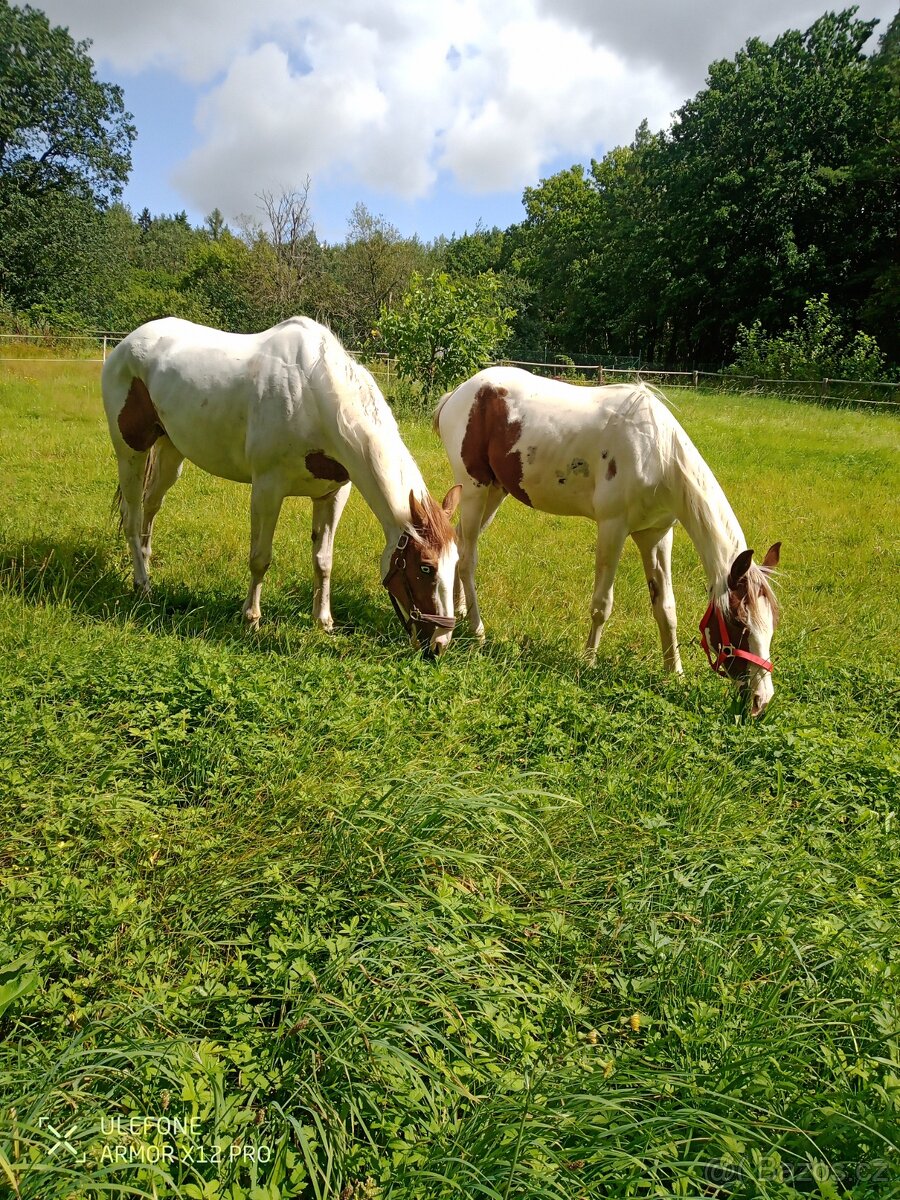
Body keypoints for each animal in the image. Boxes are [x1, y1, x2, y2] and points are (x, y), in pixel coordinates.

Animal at [102, 314, 460, 652]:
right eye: (425, 568)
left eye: (455, 562)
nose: (439, 644)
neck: (314, 396)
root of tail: (126, 345)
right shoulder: (267, 489)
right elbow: (260, 558)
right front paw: (251, 619)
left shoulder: (333, 495)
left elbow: (323, 561)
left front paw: (323, 621)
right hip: (130, 451)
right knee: (132, 516)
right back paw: (142, 585)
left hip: (170, 451)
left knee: (151, 506)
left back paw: (146, 569)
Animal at [436, 367, 782, 710]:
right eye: (740, 623)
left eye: (772, 624)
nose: (761, 700)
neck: (657, 454)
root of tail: (459, 393)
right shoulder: (612, 528)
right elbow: (602, 603)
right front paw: (588, 662)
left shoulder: (656, 535)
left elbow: (666, 608)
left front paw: (675, 674)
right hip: (475, 490)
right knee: (468, 560)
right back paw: (477, 631)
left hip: (495, 492)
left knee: (461, 544)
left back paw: (458, 611)